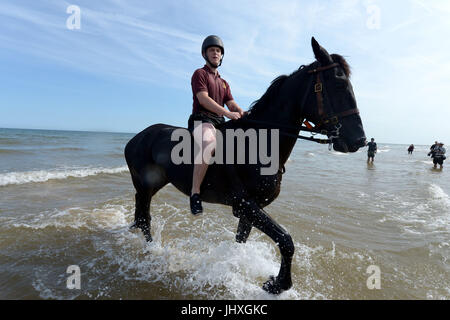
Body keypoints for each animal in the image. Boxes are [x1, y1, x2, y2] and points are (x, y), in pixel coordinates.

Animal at [124, 36, 366, 294]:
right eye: (339, 85)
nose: (359, 140)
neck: (258, 143)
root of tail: (137, 137)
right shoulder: (245, 204)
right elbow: (286, 240)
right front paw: (278, 284)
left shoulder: (251, 208)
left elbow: (242, 239)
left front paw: (236, 266)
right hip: (145, 185)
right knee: (145, 217)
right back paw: (152, 251)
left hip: (154, 184)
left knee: (142, 214)